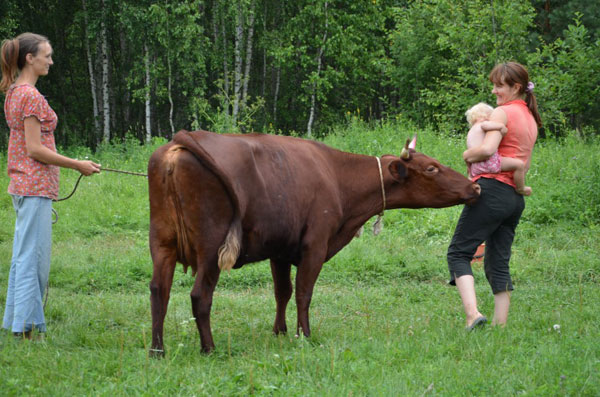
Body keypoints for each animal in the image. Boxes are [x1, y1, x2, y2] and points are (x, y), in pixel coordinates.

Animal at [148, 129, 480, 352]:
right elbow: (303, 293)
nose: (474, 188)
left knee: (158, 291)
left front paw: (280, 332)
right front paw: (303, 336)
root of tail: (181, 141)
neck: (336, 174)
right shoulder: (315, 245)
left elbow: (282, 292)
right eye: (431, 168)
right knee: (199, 295)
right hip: (210, 248)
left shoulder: (280, 250)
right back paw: (209, 348)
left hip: (161, 243)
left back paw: (157, 349)